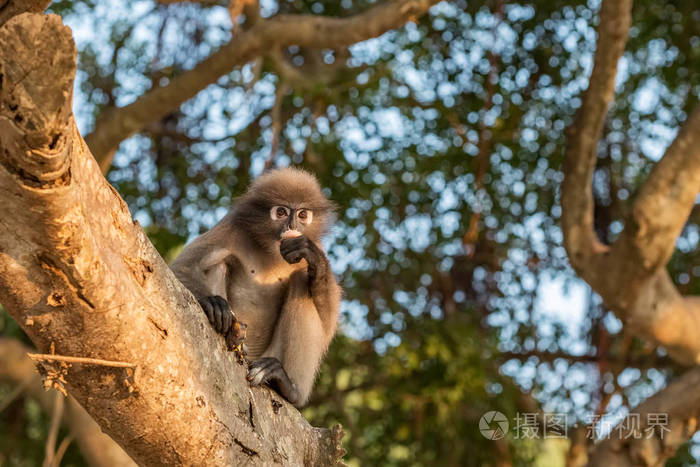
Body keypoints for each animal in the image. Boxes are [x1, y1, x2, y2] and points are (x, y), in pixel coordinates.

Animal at [172, 167, 342, 406]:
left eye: (302, 214)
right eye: (281, 212)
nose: (292, 226)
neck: (271, 250)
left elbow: (327, 323)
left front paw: (314, 258)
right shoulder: (231, 227)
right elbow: (183, 266)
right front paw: (213, 303)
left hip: (270, 355)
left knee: (301, 280)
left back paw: (288, 387)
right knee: (220, 261)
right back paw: (231, 333)